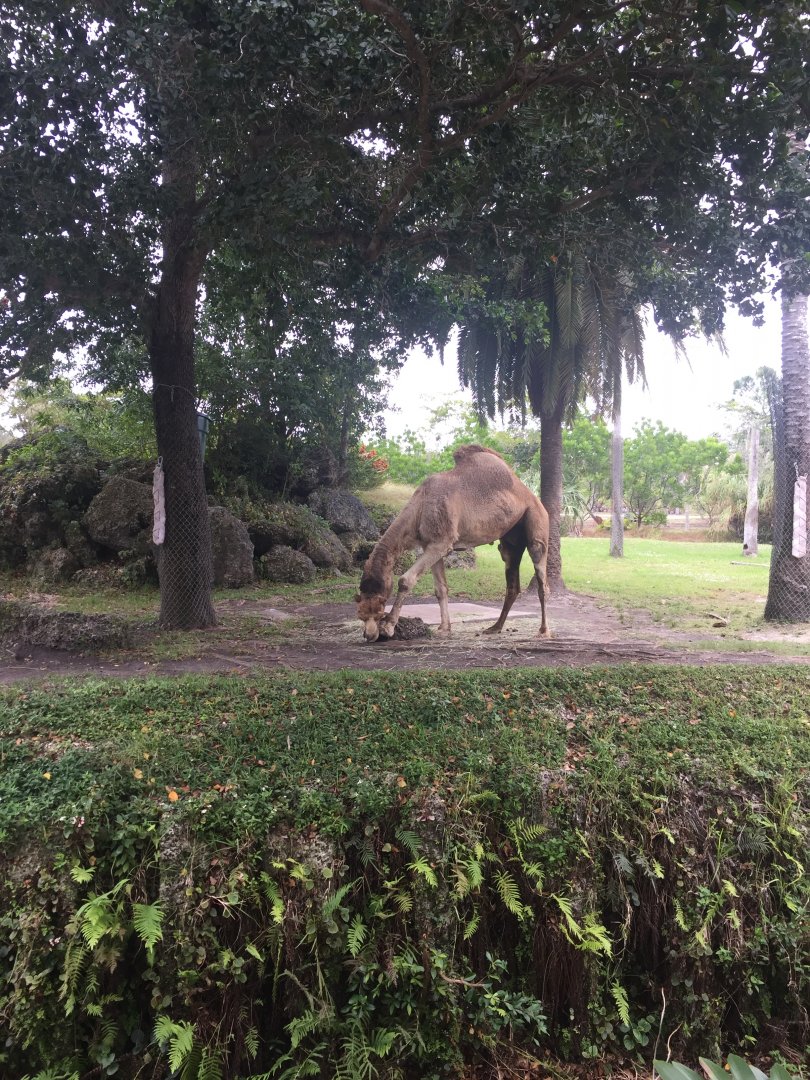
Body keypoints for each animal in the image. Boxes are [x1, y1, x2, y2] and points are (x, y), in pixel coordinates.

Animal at [356, 444, 550, 642]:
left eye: (379, 614)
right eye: (360, 616)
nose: (369, 635)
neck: (420, 506)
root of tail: (531, 495)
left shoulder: (441, 543)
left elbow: (405, 580)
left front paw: (388, 627)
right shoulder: (431, 545)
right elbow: (441, 588)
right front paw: (444, 628)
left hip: (536, 521)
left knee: (541, 577)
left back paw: (543, 631)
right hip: (510, 540)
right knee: (512, 582)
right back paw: (495, 627)